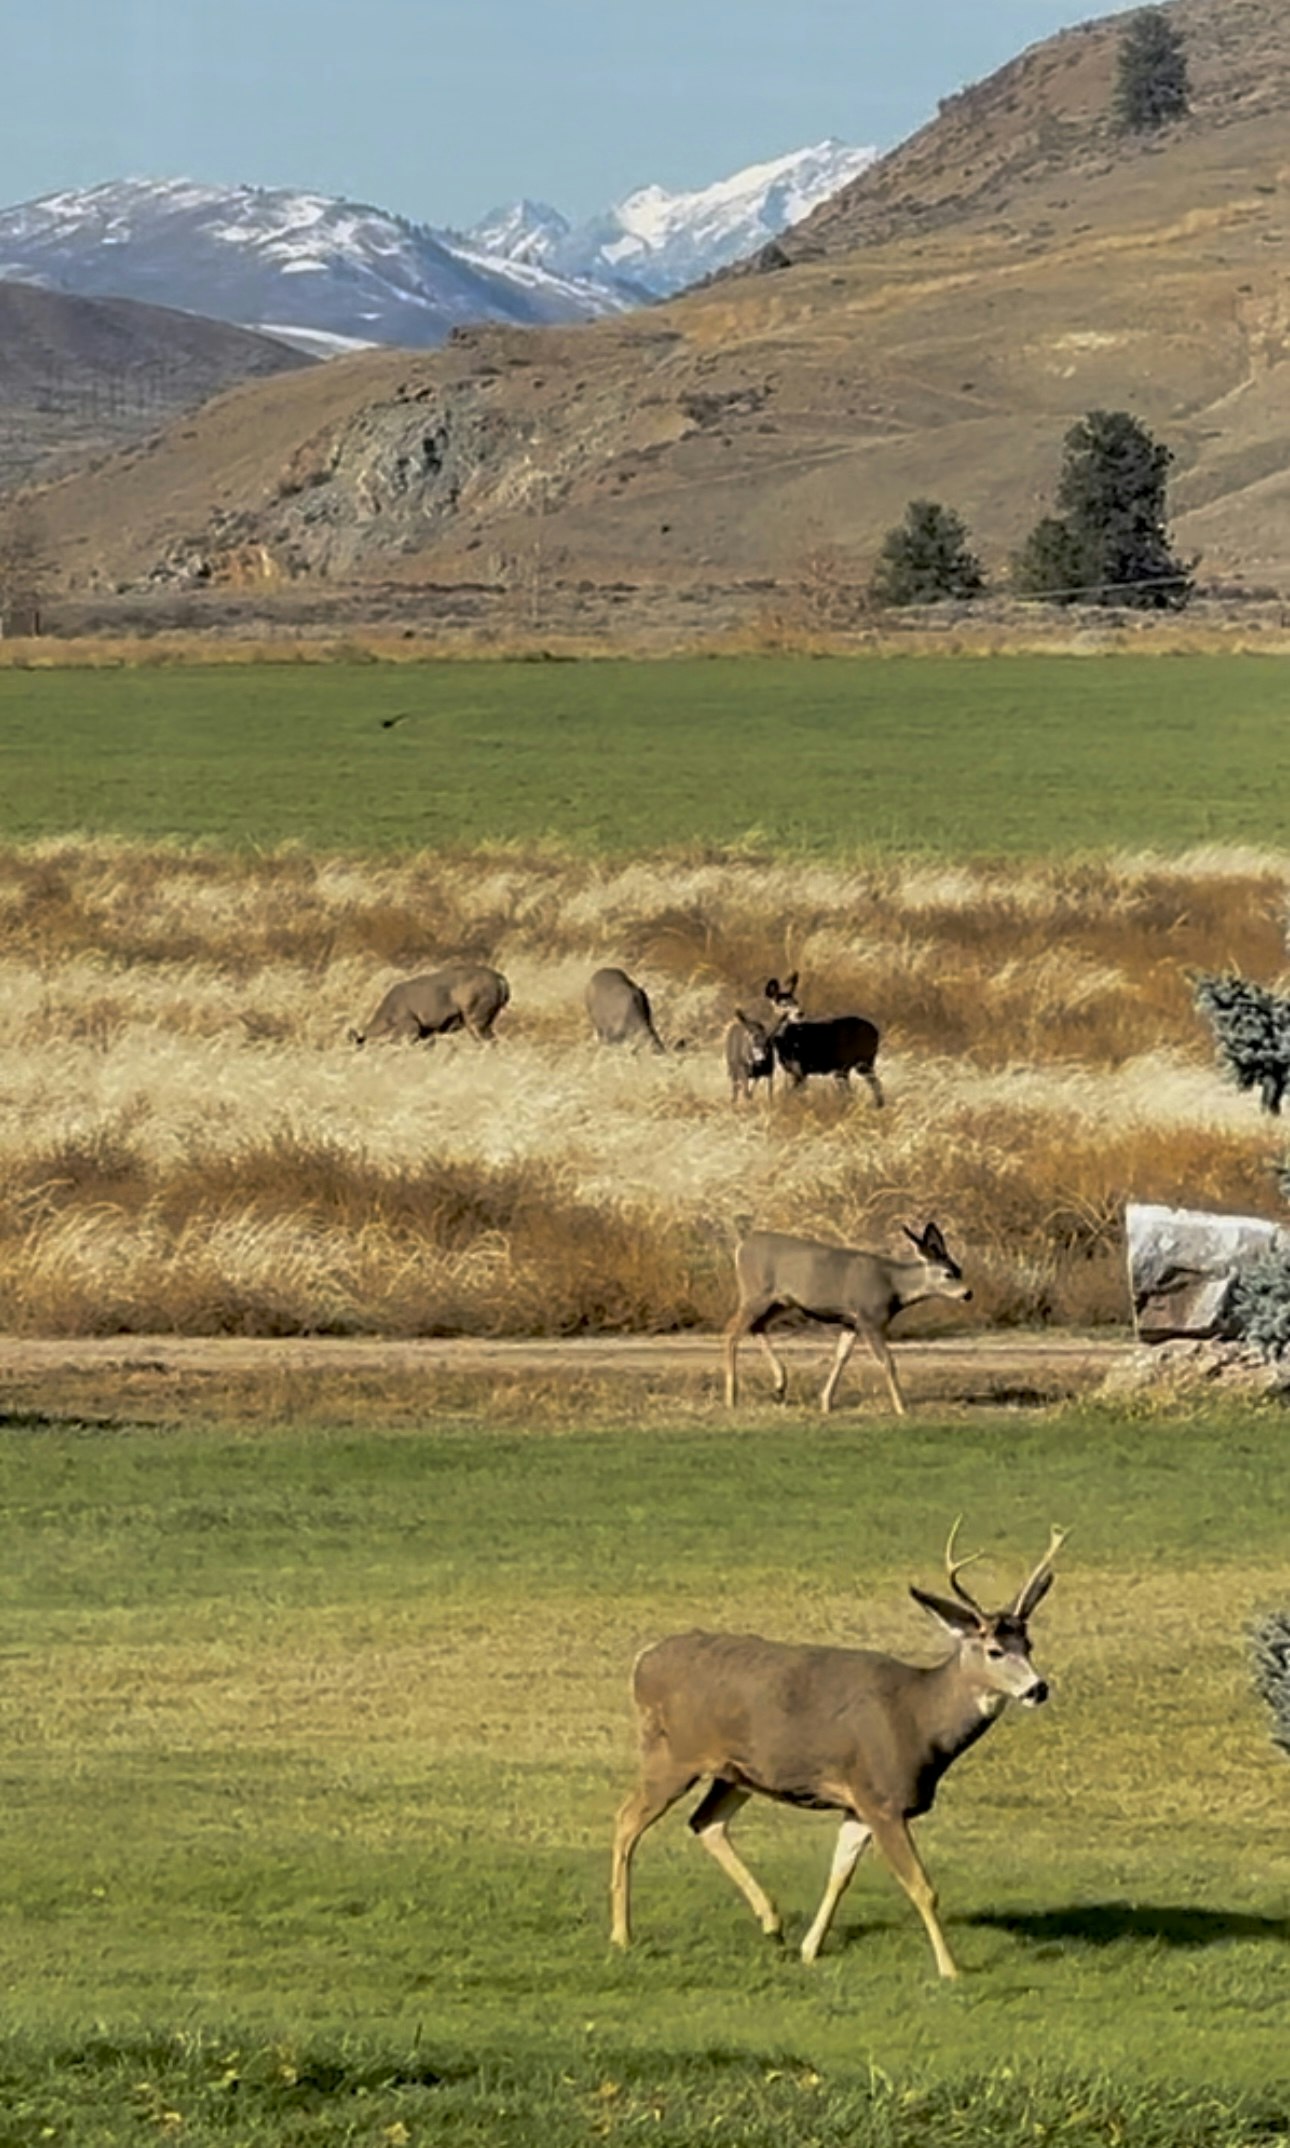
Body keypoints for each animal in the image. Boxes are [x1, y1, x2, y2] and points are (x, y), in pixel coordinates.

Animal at [610, 1521, 1065, 1979]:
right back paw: (621, 1934)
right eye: (995, 1650)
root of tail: (640, 1662)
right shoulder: (882, 1798)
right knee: (627, 1819)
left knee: (705, 1822)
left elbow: (840, 1874)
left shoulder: (857, 1804)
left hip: (736, 1772)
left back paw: (772, 1922)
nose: (1038, 1689)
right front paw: (950, 1969)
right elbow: (922, 1887)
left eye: (1030, 1645)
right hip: (672, 1753)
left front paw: (810, 1949)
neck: (920, 1722)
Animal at [724, 1221, 971, 1416]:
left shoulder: (851, 1322)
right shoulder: (871, 1318)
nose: (968, 1294)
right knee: (732, 1332)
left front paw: (825, 1403)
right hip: (756, 1293)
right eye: (948, 1274)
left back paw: (779, 1385)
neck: (894, 1287)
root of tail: (741, 1246)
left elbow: (841, 1356)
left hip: (781, 1302)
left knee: (756, 1326)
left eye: (959, 1269)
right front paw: (902, 1407)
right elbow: (887, 1361)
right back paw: (731, 1398)